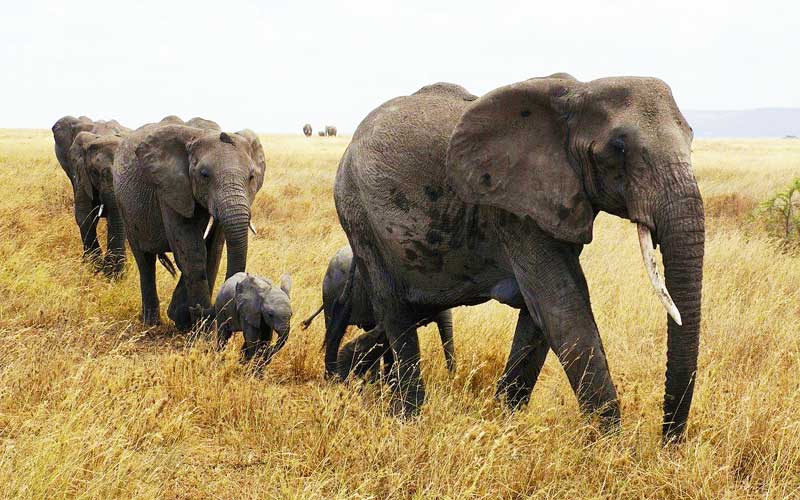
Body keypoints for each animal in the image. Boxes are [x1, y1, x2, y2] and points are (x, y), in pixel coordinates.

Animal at [114, 115, 268, 330]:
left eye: (251, 177)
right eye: (204, 175)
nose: (208, 310)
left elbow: (213, 252)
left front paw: (186, 320)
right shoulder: (170, 189)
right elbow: (192, 252)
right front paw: (199, 329)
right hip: (124, 206)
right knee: (144, 260)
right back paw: (151, 323)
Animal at [326, 75, 708, 442]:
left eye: (691, 138)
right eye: (619, 147)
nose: (667, 443)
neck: (578, 91)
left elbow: (542, 314)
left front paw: (505, 419)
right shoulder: (514, 210)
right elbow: (562, 306)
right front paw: (611, 447)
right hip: (358, 215)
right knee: (396, 312)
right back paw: (407, 416)